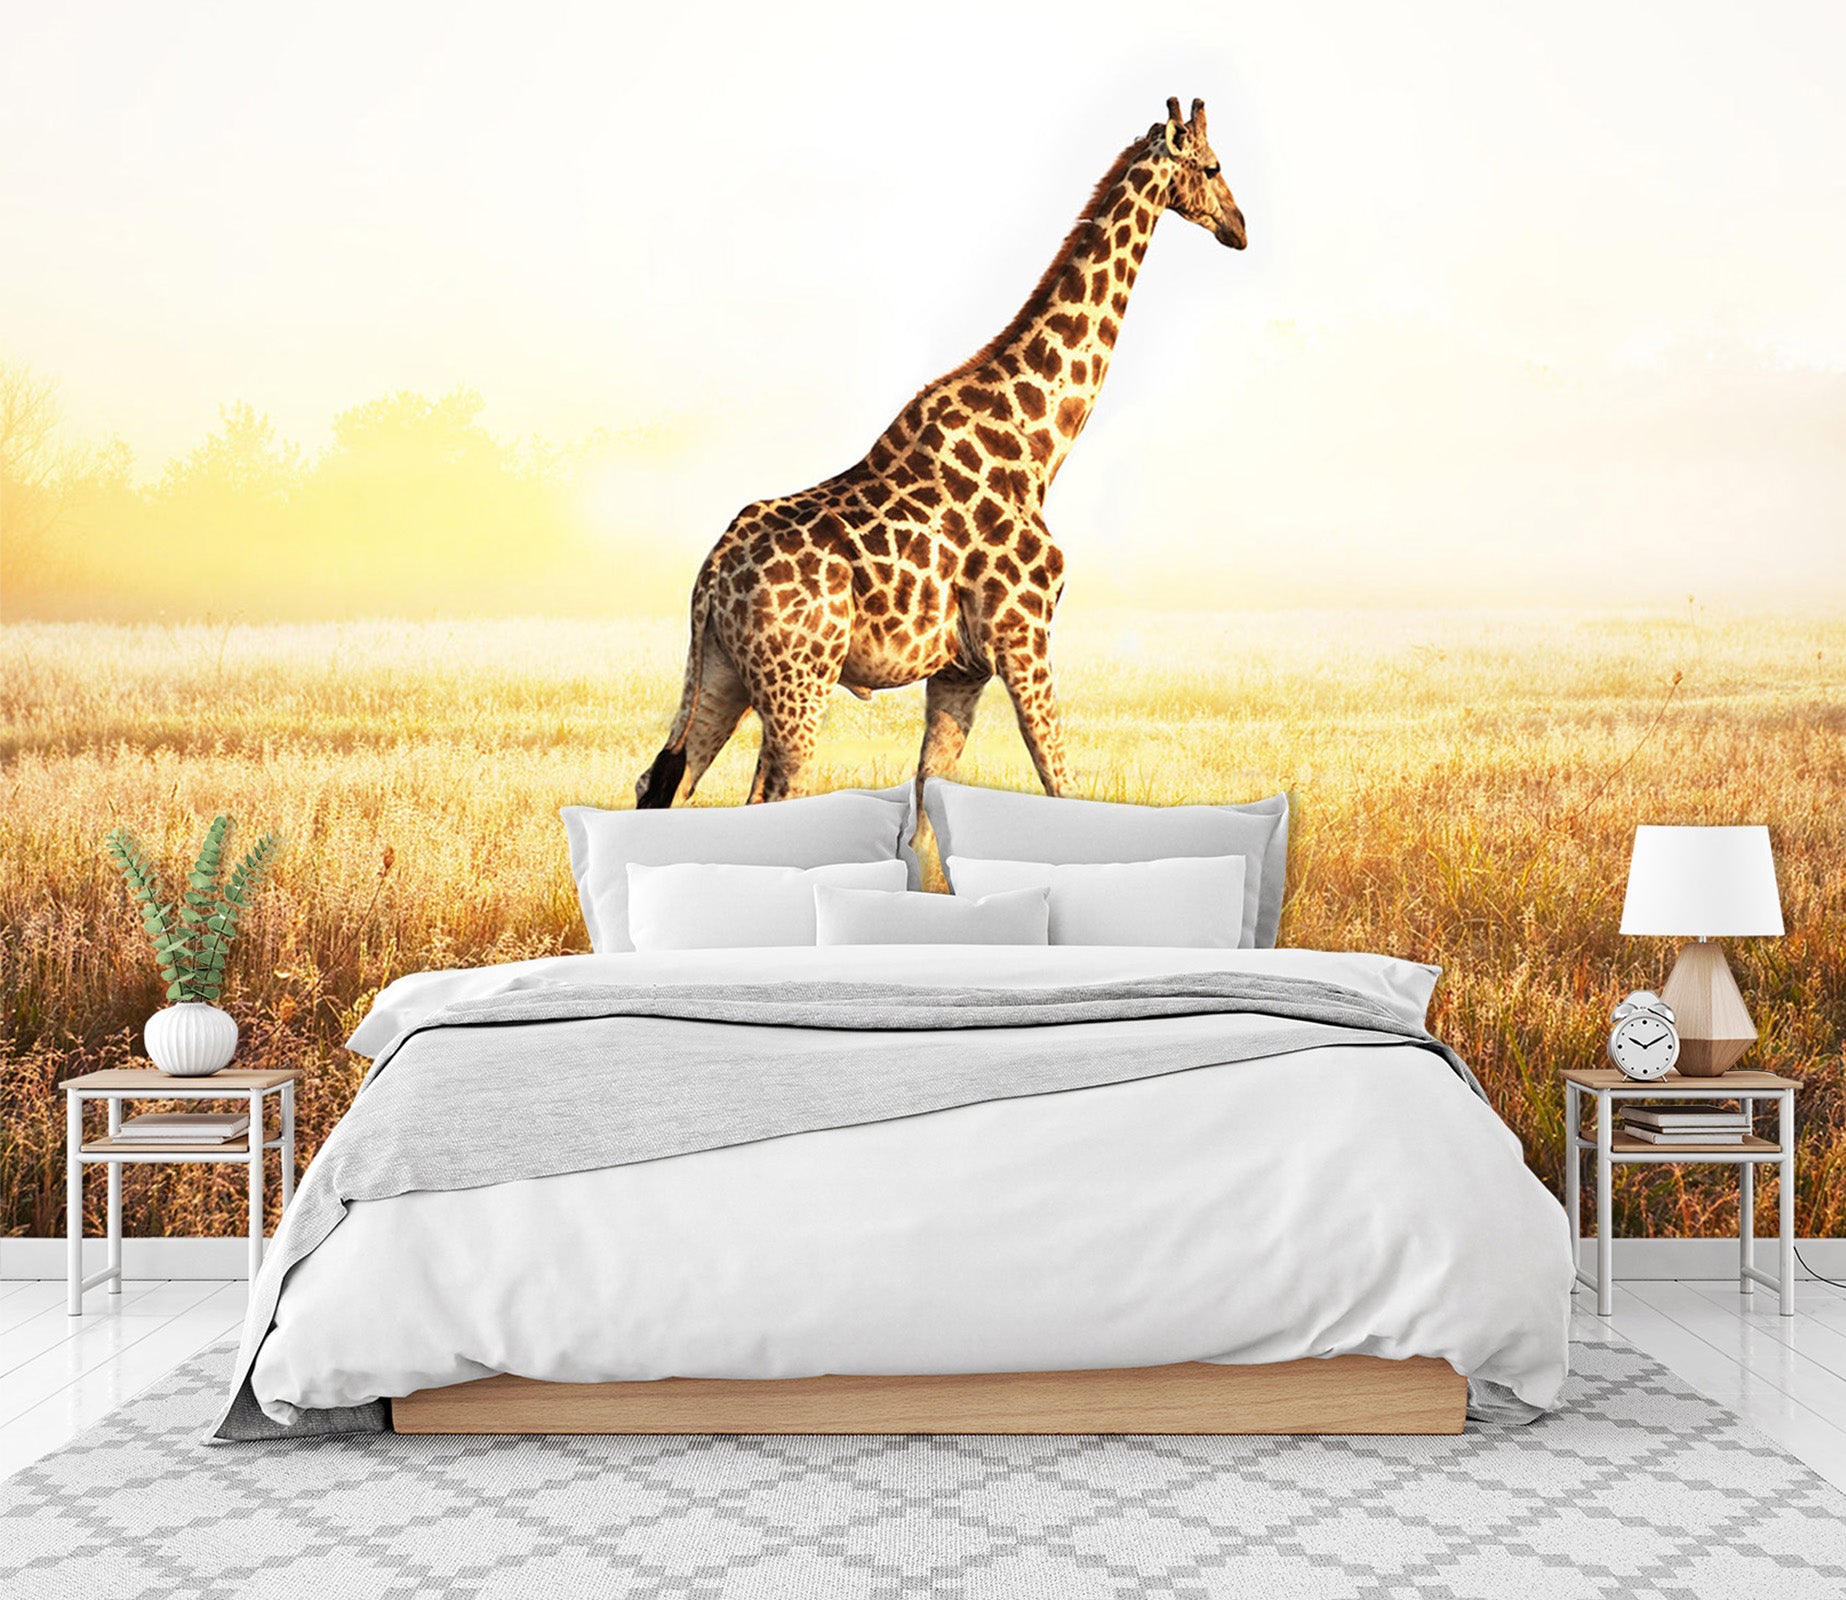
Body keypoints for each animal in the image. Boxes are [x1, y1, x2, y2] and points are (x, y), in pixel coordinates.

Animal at [636, 96, 1245, 837]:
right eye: (1213, 166)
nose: (1240, 229)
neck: (1039, 441)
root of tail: (710, 577)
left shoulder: (961, 668)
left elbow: (928, 803)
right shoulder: (1024, 636)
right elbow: (1058, 782)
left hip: (723, 673)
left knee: (661, 783)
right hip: (797, 682)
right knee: (767, 797)